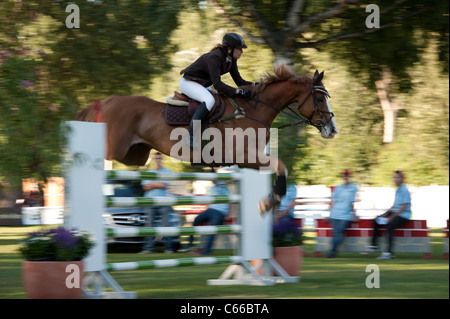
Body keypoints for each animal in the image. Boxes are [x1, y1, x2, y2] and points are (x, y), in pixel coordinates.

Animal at [74, 65, 338, 212]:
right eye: (319, 98)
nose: (332, 130)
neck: (252, 110)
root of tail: (106, 101)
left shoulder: (247, 160)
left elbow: (279, 167)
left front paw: (268, 202)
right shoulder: (245, 156)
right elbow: (281, 166)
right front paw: (269, 202)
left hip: (135, 155)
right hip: (115, 148)